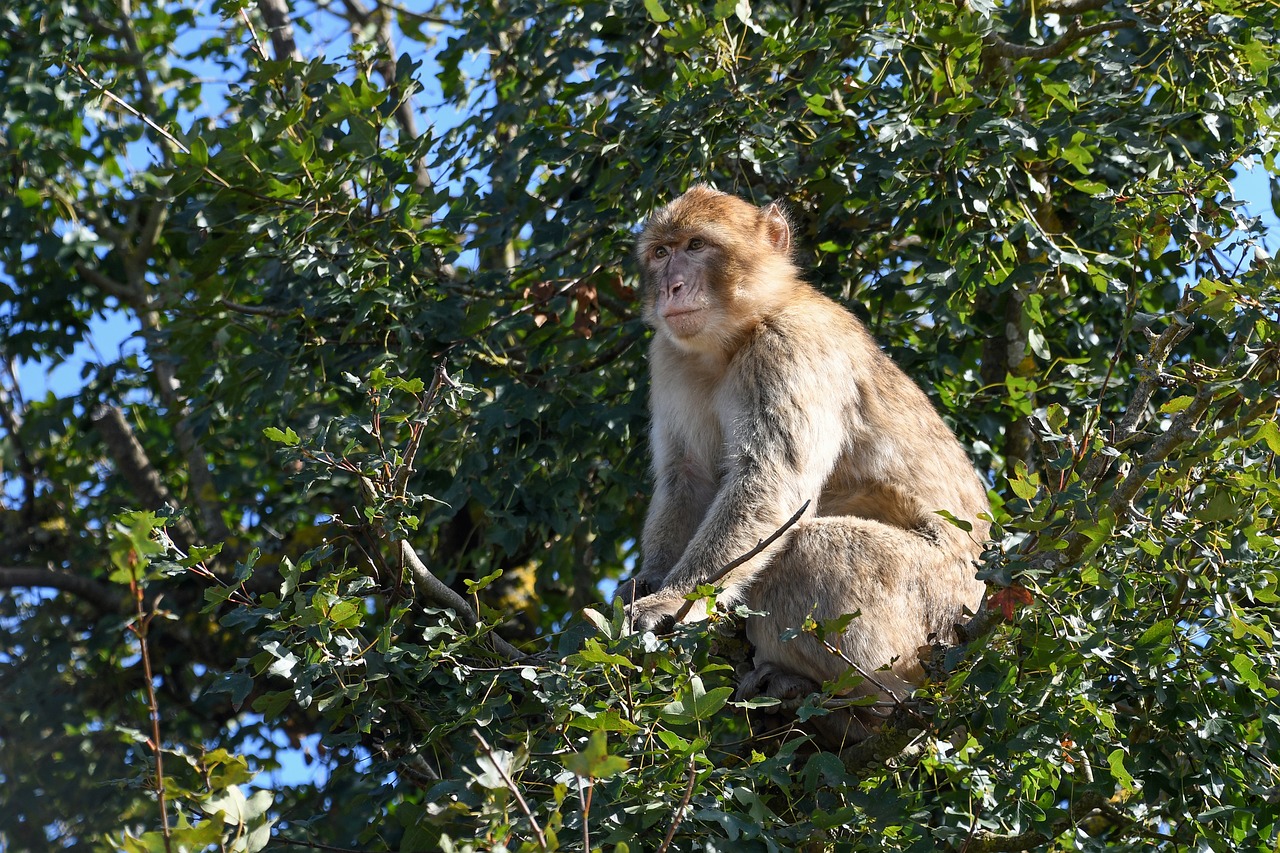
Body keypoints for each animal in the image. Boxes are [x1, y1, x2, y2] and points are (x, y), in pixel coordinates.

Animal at [619, 184, 988, 742]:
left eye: (697, 245)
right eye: (661, 253)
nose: (672, 286)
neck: (734, 340)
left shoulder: (790, 347)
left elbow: (770, 481)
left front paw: (672, 601)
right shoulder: (669, 357)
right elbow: (688, 479)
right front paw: (648, 581)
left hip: (940, 610)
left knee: (811, 548)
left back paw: (867, 706)